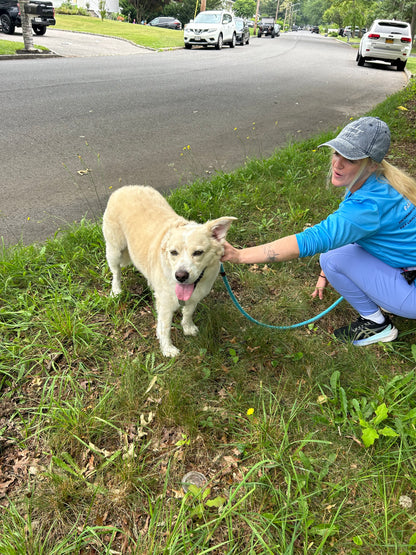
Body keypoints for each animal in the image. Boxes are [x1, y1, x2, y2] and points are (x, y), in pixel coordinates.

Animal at [102, 185, 236, 358]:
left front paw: (187, 327)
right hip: (115, 251)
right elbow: (164, 328)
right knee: (116, 273)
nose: (180, 276)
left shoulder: (195, 296)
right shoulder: (165, 306)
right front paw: (167, 349)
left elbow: (188, 312)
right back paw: (116, 291)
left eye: (198, 252)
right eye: (173, 252)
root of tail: (124, 188)